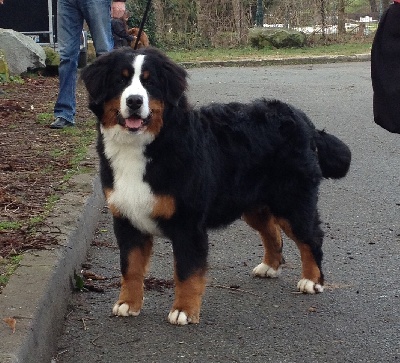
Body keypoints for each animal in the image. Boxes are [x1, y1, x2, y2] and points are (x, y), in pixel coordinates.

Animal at [81, 47, 350, 328]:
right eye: (120, 81)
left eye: (150, 82)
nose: (134, 101)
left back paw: (312, 280)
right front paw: (128, 304)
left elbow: (187, 272)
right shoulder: (127, 219)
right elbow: (130, 268)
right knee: (271, 231)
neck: (144, 147)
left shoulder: (188, 223)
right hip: (252, 203)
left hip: (292, 201)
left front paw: (184, 310)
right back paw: (270, 266)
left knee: (311, 238)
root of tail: (300, 117)